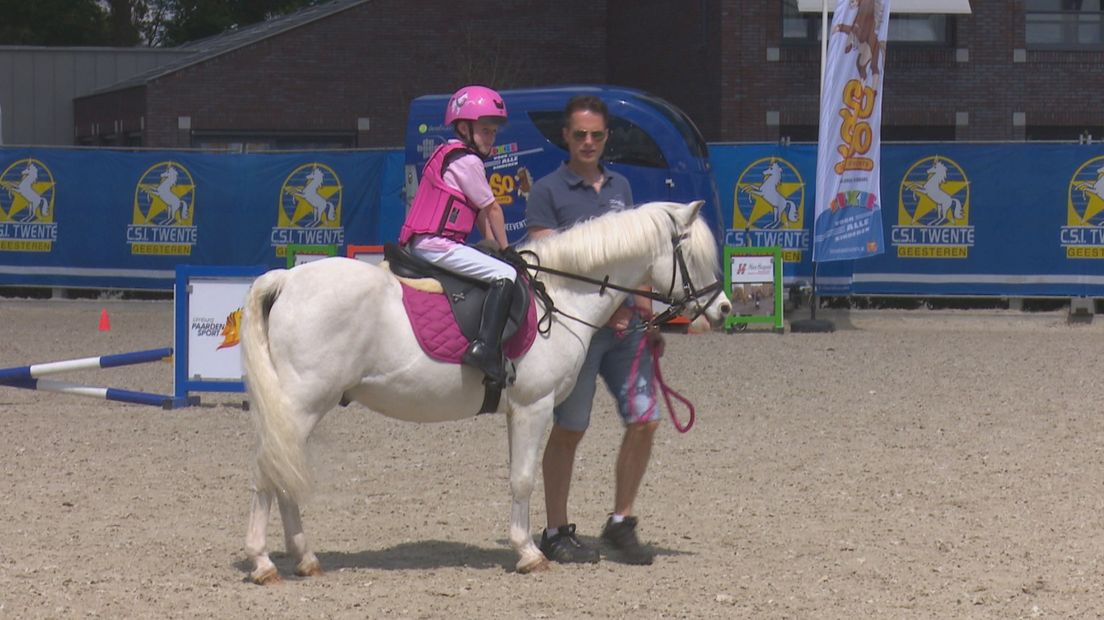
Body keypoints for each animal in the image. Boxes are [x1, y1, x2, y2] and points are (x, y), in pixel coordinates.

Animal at [239, 200, 733, 582]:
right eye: (693, 254)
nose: (724, 309)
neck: (560, 294)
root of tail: (287, 279)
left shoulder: (520, 411)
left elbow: (521, 475)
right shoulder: (534, 407)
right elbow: (524, 478)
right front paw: (529, 554)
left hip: (301, 409)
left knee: (283, 471)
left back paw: (304, 559)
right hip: (301, 404)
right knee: (267, 472)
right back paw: (264, 563)